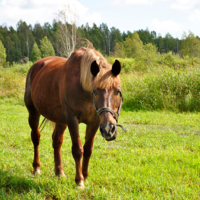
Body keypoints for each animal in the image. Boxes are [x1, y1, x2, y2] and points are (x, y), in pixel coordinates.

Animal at [24, 47, 125, 189]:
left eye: (117, 91)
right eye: (95, 91)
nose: (108, 129)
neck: (82, 87)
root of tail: (36, 66)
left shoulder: (94, 122)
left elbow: (88, 150)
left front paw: (85, 177)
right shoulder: (72, 120)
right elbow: (78, 150)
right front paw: (79, 181)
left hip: (61, 120)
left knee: (56, 141)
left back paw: (59, 172)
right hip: (33, 112)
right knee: (36, 138)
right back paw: (36, 168)